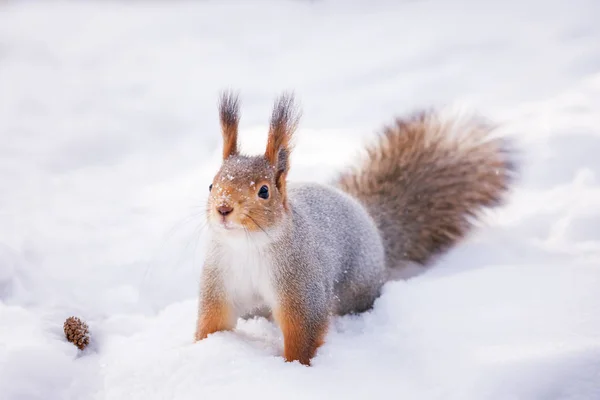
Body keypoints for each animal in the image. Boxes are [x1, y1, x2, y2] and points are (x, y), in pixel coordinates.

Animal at [193, 91, 516, 366]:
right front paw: (205, 350)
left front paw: (295, 369)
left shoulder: (300, 286)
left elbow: (303, 332)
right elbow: (213, 321)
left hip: (357, 288)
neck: (246, 245)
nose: (223, 209)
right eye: (210, 185)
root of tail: (370, 221)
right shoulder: (219, 283)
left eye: (263, 191)